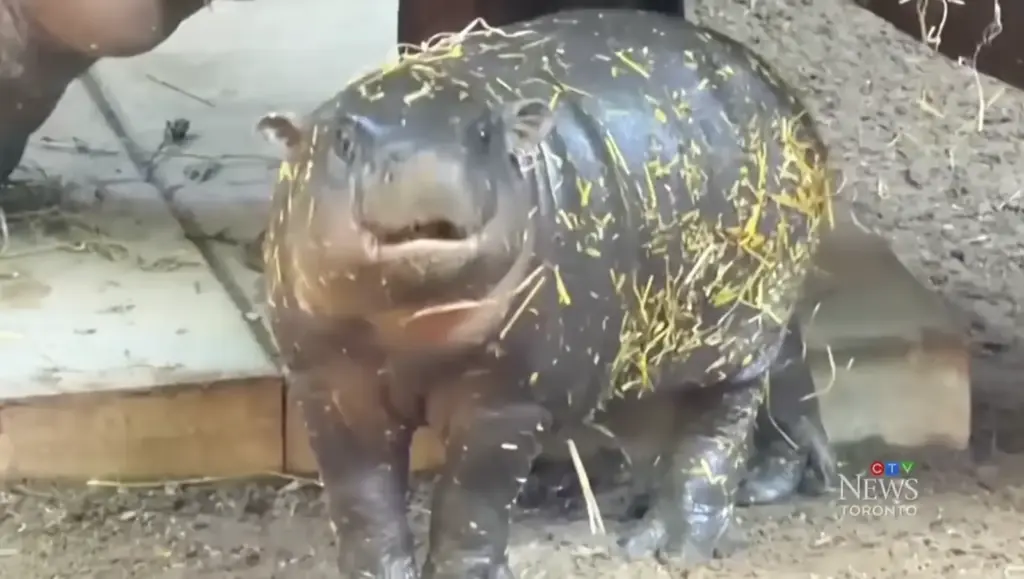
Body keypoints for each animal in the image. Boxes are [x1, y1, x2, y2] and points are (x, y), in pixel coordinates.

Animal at [259, 9, 834, 577]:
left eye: (484, 133)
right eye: (342, 140)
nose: (426, 165)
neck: (406, 323)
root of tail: (783, 93)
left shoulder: (507, 401)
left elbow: (472, 503)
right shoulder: (328, 384)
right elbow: (362, 499)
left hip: (737, 325)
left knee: (715, 428)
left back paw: (664, 547)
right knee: (774, 373)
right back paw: (755, 486)